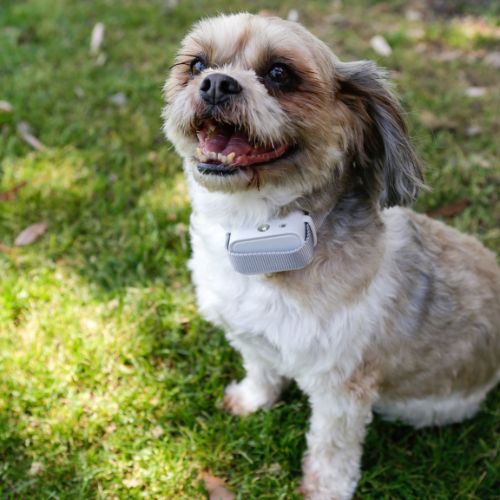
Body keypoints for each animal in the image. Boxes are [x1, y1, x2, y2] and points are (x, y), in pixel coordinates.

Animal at [164, 11, 500, 500]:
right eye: (197, 65)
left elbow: (331, 445)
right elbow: (262, 368)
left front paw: (325, 487)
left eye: (279, 74)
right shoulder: (251, 335)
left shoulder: (342, 384)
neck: (257, 230)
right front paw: (252, 399)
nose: (216, 84)